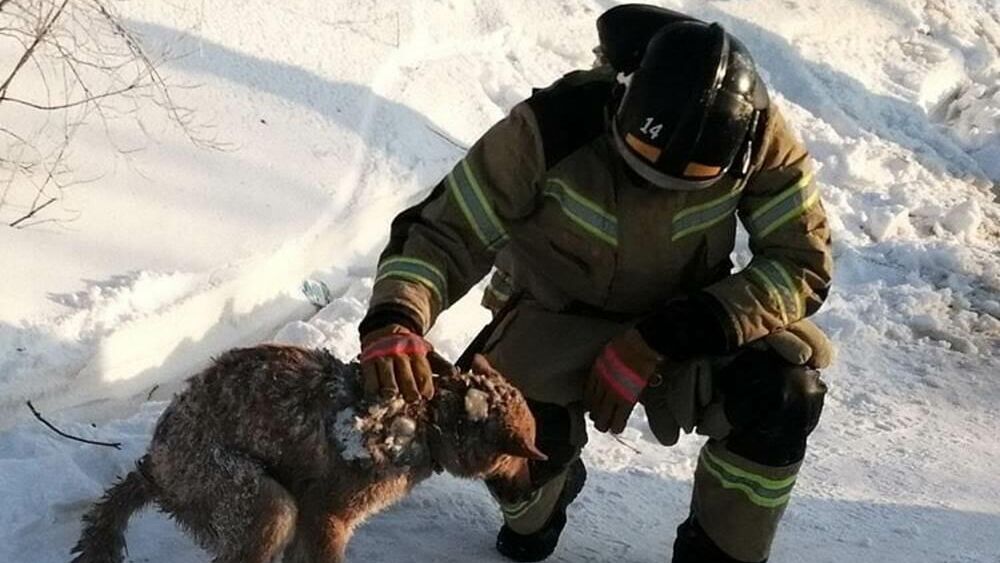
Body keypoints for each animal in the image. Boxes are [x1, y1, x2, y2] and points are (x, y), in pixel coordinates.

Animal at [70, 346, 544, 560]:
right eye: (521, 455)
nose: (529, 490)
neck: (427, 421)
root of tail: (154, 466)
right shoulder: (327, 517)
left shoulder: (313, 524)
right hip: (265, 504)